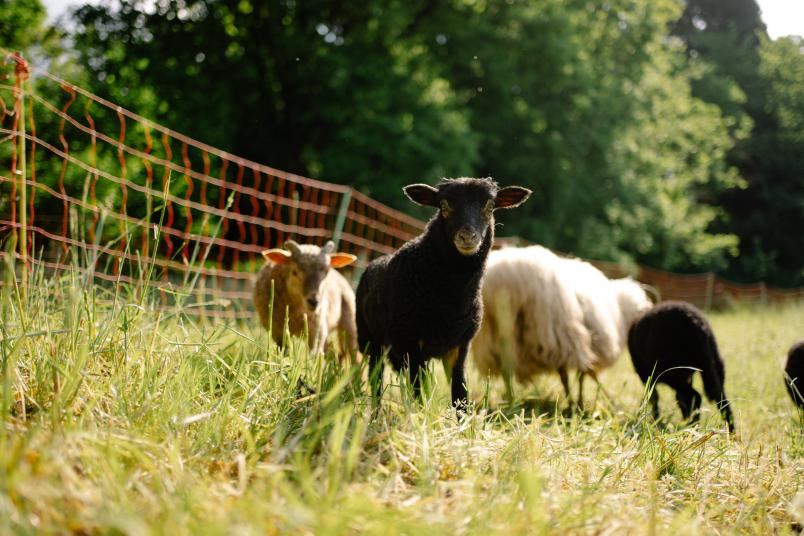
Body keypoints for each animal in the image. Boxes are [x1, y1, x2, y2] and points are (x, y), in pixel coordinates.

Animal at [354, 178, 532, 408]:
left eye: (490, 206)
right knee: (376, 380)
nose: (467, 236)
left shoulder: (459, 346)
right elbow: (419, 393)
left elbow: (460, 393)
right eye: (444, 206)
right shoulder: (412, 345)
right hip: (371, 341)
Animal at [472, 245, 652, 404]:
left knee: (506, 369)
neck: (620, 311)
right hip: (556, 333)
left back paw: (511, 400)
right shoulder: (579, 345)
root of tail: (504, 277)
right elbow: (579, 376)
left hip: (493, 337)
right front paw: (577, 403)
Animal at [628, 300, 736, 434]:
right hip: (715, 364)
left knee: (694, 396)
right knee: (721, 399)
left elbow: (653, 397)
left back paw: (692, 428)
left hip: (671, 371)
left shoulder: (645, 375)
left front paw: (654, 421)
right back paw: (732, 435)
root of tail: (694, 322)